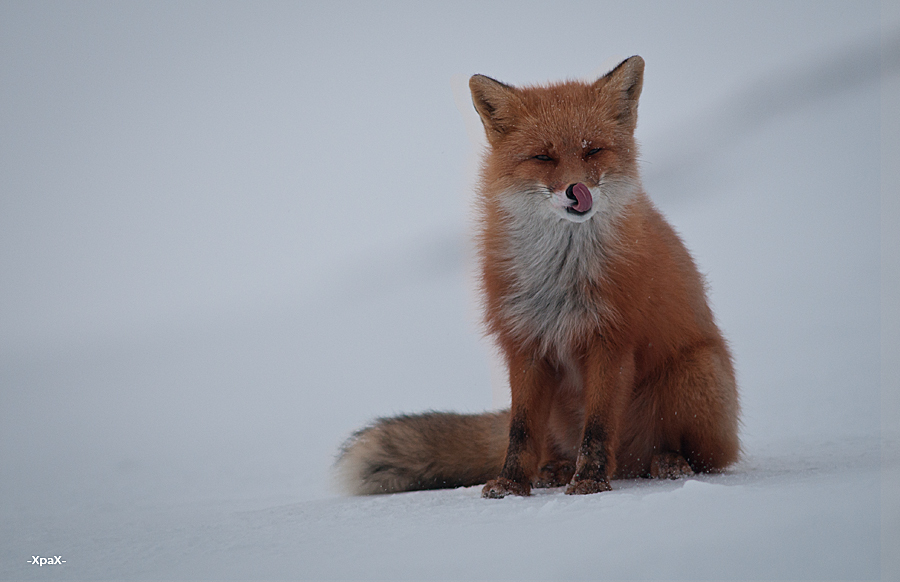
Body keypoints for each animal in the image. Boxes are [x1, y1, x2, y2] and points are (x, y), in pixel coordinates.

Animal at [336, 57, 740, 500]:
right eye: (543, 157)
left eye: (592, 149)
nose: (576, 191)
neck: (560, 276)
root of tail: (631, 465)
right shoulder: (526, 344)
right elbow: (520, 431)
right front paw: (511, 485)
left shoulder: (612, 341)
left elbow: (598, 430)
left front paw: (590, 482)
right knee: (555, 446)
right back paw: (556, 469)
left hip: (696, 374)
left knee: (701, 458)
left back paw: (666, 463)